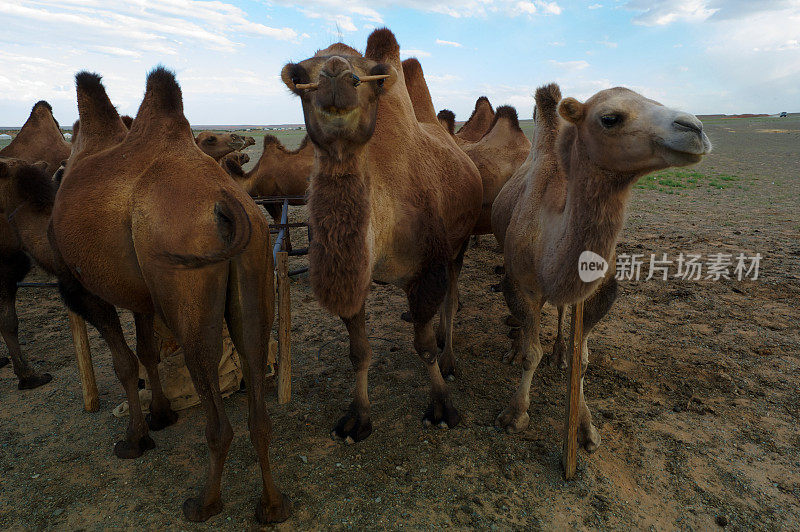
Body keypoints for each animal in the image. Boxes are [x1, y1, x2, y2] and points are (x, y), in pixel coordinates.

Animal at [50, 69, 288, 524]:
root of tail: (226, 203)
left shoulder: (84, 288)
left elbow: (125, 363)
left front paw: (135, 440)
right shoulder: (143, 295)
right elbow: (147, 351)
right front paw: (162, 416)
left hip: (187, 295)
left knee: (218, 416)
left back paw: (204, 503)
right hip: (253, 264)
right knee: (256, 389)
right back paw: (271, 506)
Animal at [282, 30, 482, 444]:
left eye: (370, 76)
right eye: (299, 76)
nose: (337, 75)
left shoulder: (430, 266)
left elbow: (424, 347)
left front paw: (442, 407)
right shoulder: (354, 272)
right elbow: (359, 351)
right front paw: (357, 419)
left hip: (459, 244)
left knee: (451, 300)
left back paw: (450, 356)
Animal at [494, 84, 712, 454]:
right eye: (610, 118)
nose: (695, 128)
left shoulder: (600, 293)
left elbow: (583, 361)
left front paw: (585, 428)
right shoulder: (520, 284)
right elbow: (531, 354)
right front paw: (515, 414)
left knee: (562, 311)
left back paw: (559, 354)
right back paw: (518, 346)